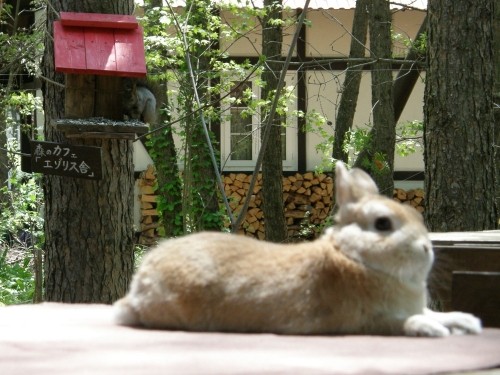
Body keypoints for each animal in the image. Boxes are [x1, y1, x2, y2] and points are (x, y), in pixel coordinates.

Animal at [113, 162, 480, 338]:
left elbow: (433, 312)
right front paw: (432, 330)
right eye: (382, 224)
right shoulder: (363, 321)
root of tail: (139, 285)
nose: (426, 250)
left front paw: (466, 321)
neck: (354, 258)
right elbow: (403, 324)